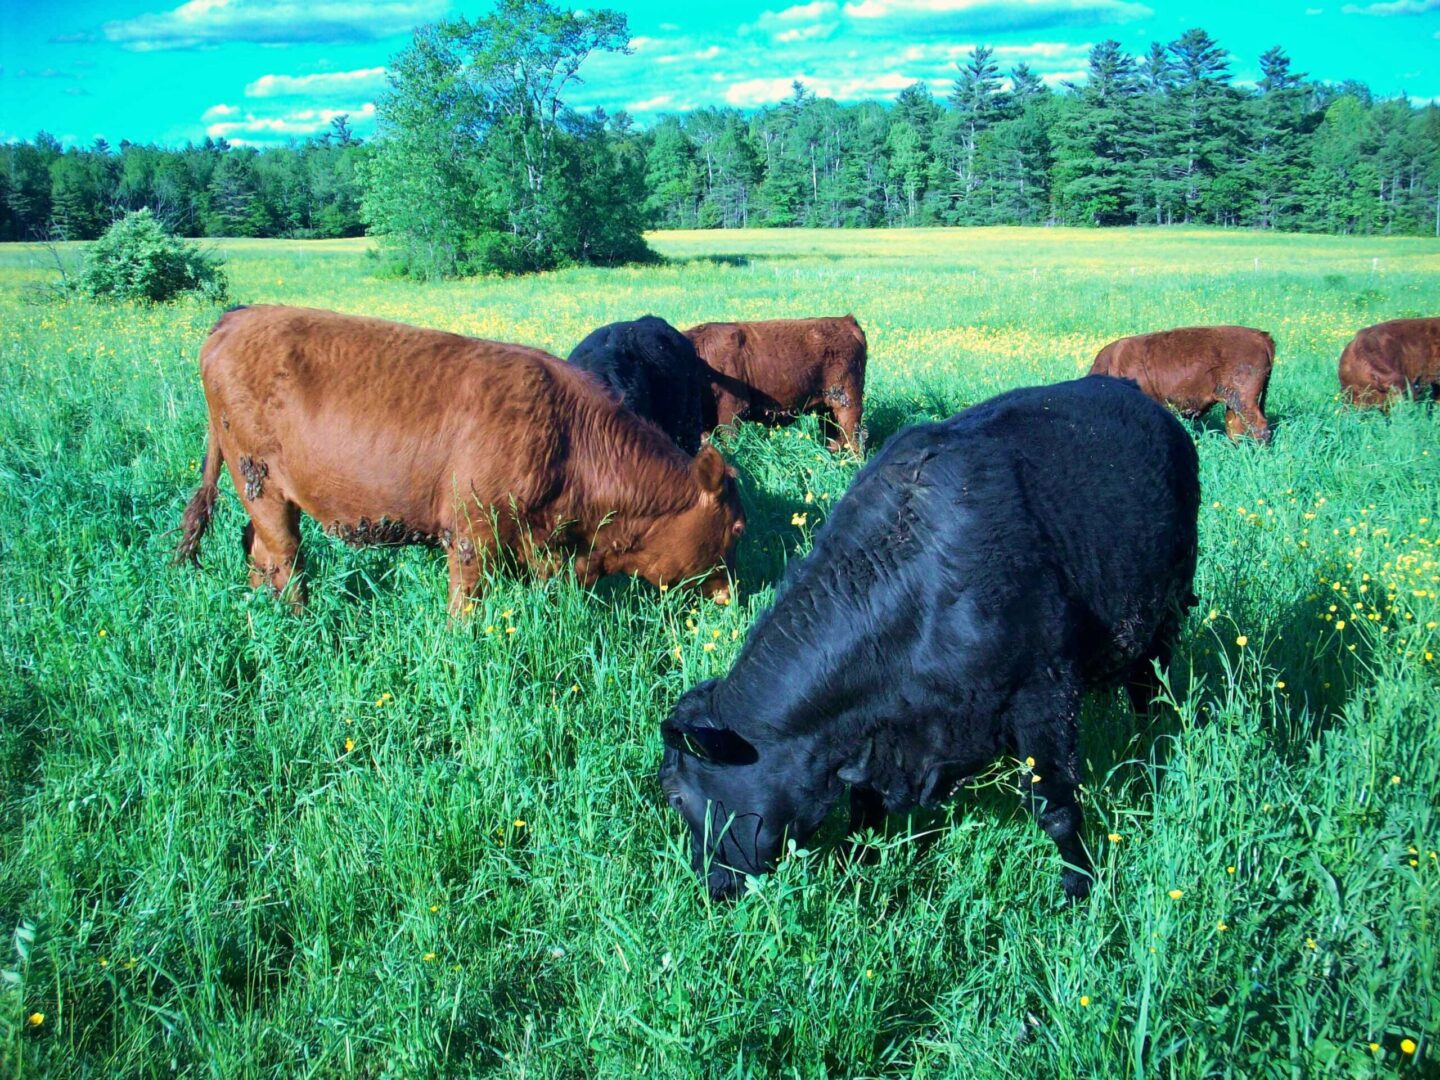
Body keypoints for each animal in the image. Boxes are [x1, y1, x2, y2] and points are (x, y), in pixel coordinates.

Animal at [659, 377, 1198, 898]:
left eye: (676, 795)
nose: (709, 885)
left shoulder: (1045, 694)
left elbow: (1057, 809)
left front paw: (1079, 886)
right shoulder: (874, 740)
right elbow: (864, 812)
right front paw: (858, 872)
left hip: (1166, 611)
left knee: (1149, 685)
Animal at [685, 315, 864, 455]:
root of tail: (846, 320)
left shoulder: (732, 411)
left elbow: (729, 444)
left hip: (848, 403)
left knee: (855, 438)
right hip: (827, 408)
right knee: (835, 439)